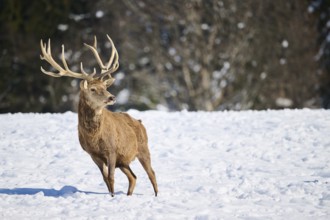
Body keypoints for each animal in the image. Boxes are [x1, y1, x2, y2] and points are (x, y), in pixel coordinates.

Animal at [40, 35, 159, 197]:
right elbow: (105, 179)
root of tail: (140, 122)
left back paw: (156, 195)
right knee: (133, 177)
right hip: (124, 161)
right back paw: (128, 195)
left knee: (151, 173)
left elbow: (111, 177)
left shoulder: (112, 149)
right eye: (93, 89)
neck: (94, 137)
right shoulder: (93, 154)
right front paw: (111, 195)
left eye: (105, 87)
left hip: (143, 148)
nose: (112, 97)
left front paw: (113, 196)